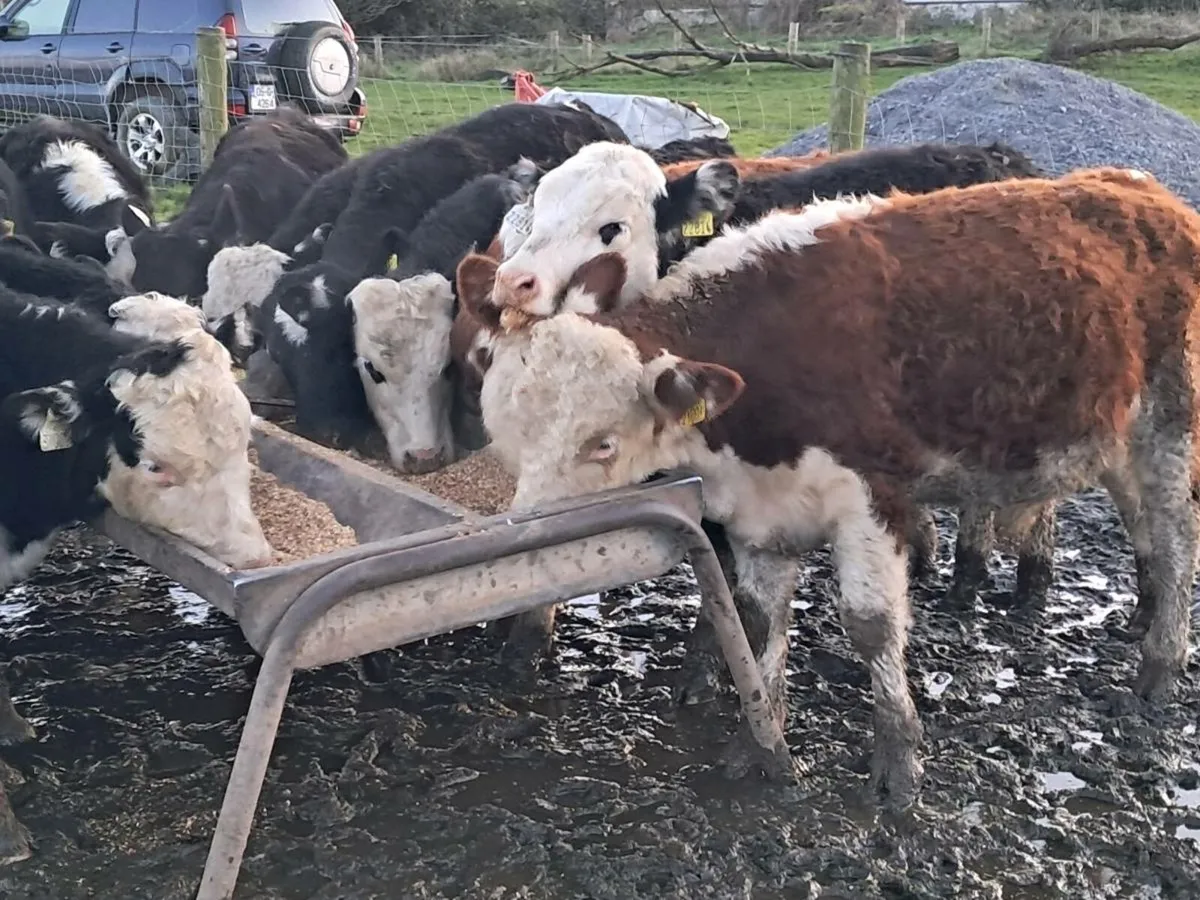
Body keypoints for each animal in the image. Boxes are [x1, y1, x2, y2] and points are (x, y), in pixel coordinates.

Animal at [463, 166, 1200, 806]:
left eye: (603, 443)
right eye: (508, 434)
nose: (528, 540)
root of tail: (1140, 187)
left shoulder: (873, 500)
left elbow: (871, 626)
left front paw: (899, 762)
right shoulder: (759, 518)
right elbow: (760, 623)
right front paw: (760, 744)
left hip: (1171, 423)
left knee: (1177, 534)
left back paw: (1161, 662)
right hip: (1114, 435)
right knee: (1142, 518)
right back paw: (1143, 615)